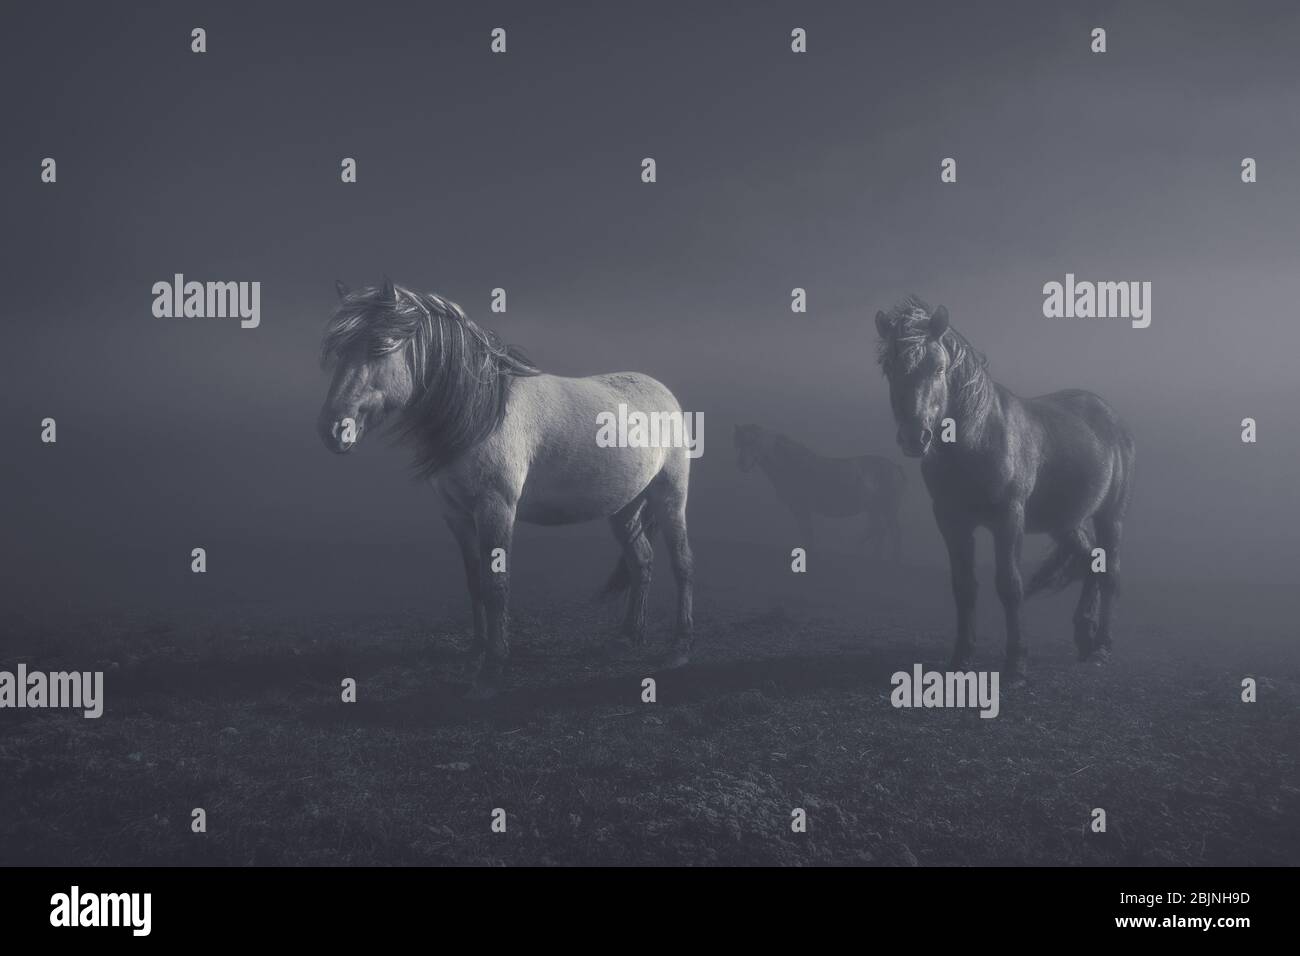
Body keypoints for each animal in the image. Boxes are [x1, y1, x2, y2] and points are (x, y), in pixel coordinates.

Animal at [315, 278, 696, 697]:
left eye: (378, 347)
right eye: (338, 351)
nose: (333, 430)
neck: (482, 411)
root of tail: (662, 392)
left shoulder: (495, 508)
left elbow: (497, 585)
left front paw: (492, 669)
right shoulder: (457, 515)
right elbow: (474, 582)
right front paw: (476, 652)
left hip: (669, 497)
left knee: (681, 563)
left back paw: (679, 647)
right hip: (624, 508)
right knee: (641, 561)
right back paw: (628, 637)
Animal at [733, 421, 904, 556]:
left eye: (754, 442)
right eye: (740, 442)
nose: (742, 464)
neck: (791, 465)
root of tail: (895, 468)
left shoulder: (802, 509)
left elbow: (808, 536)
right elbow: (807, 536)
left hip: (886, 509)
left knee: (891, 534)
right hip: (875, 509)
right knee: (880, 532)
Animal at [873, 299, 1138, 681]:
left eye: (937, 368)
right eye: (889, 368)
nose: (914, 437)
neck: (977, 439)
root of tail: (1110, 416)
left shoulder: (1008, 518)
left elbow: (1010, 586)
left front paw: (1016, 664)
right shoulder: (951, 521)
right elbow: (964, 587)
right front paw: (961, 658)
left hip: (1110, 516)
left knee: (1110, 574)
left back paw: (1101, 645)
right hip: (1066, 521)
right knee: (1091, 559)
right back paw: (1084, 635)